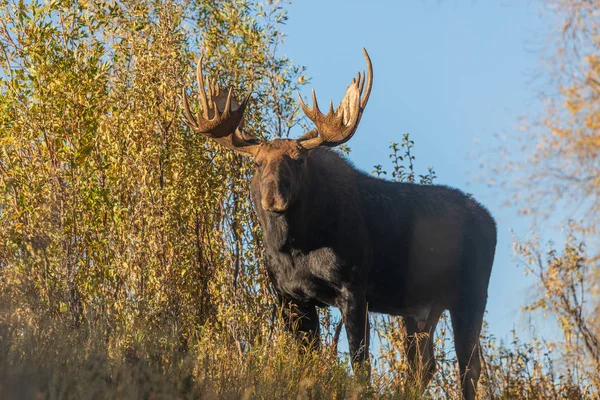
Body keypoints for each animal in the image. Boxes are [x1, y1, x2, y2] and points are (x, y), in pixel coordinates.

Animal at [182, 48, 496, 398]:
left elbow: (360, 365)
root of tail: (491, 221)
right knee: (424, 366)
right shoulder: (290, 297)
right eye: (258, 163)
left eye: (298, 160)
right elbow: (306, 362)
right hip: (419, 308)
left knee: (468, 367)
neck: (294, 247)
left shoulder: (354, 287)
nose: (273, 197)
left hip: (471, 294)